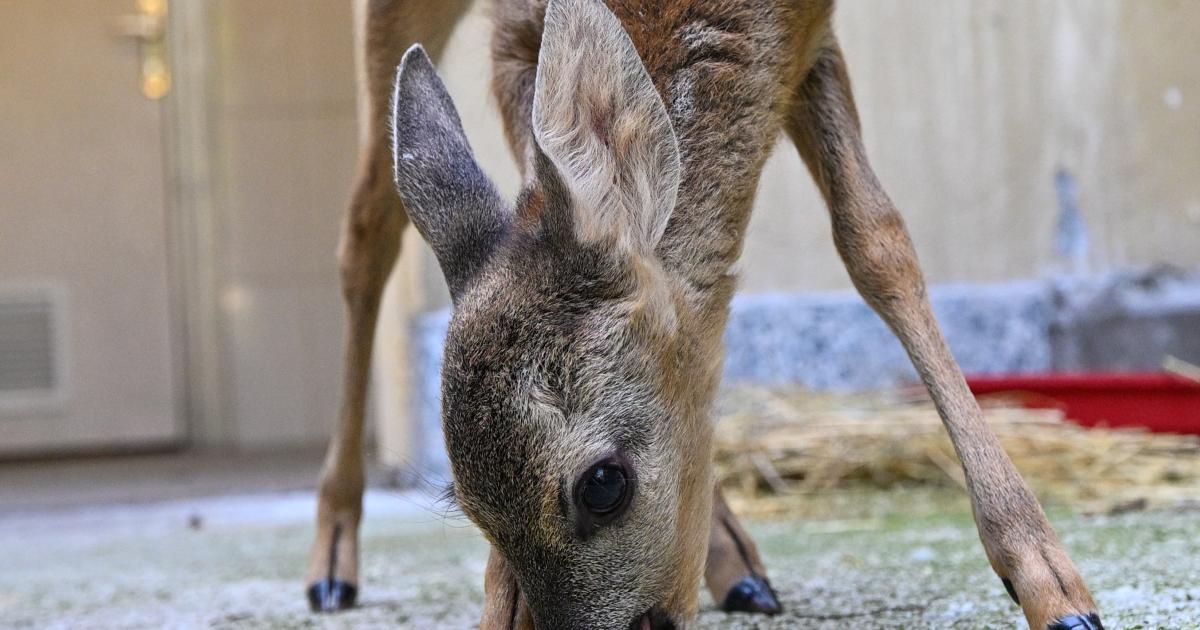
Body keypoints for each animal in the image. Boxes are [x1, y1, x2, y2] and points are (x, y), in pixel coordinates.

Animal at [302, 0, 1104, 624]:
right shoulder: (515, 36)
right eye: (469, 507)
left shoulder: (808, 30)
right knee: (365, 229)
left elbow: (876, 242)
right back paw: (330, 564)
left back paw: (739, 566)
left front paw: (1052, 584)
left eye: (602, 486)